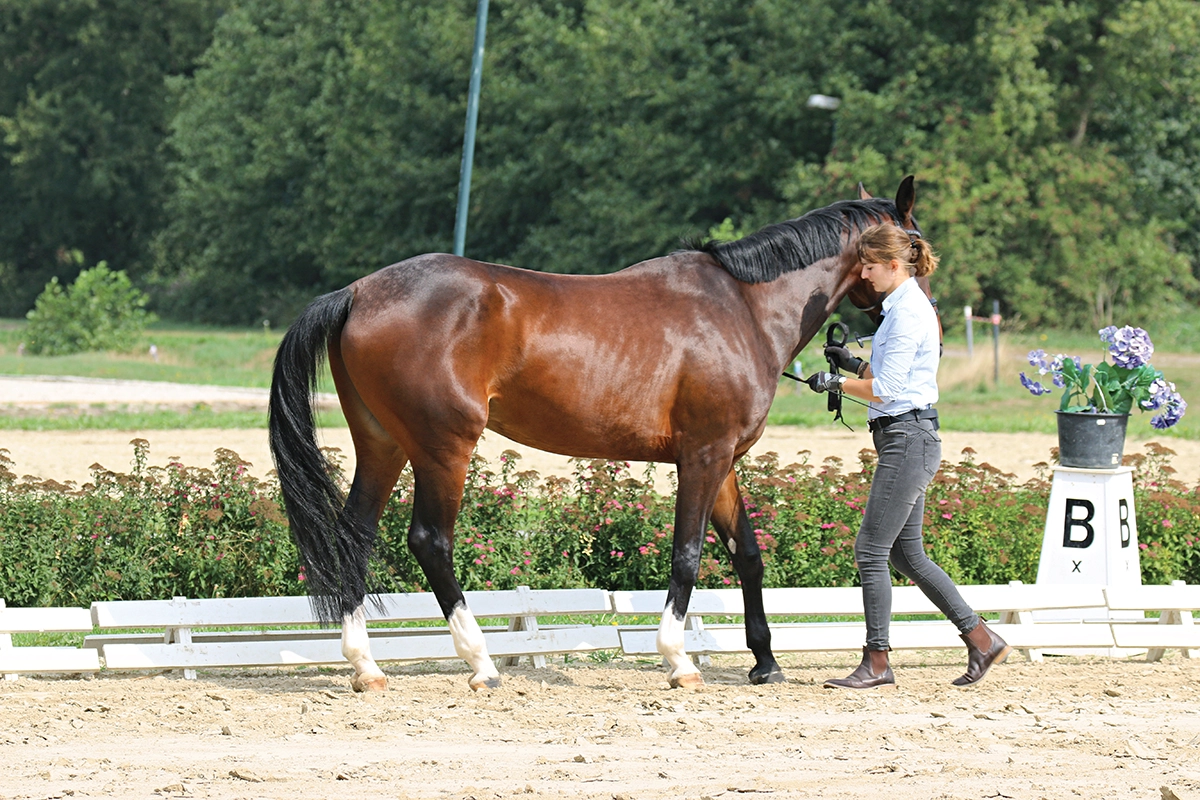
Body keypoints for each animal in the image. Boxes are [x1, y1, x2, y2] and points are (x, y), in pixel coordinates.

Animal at [268, 176, 933, 692]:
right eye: (917, 246)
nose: (920, 313)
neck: (741, 308)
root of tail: (358, 292)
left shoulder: (723, 460)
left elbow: (746, 553)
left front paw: (765, 664)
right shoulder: (702, 457)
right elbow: (688, 554)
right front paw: (678, 659)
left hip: (382, 444)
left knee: (354, 535)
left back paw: (366, 666)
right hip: (442, 448)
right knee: (431, 541)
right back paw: (481, 663)